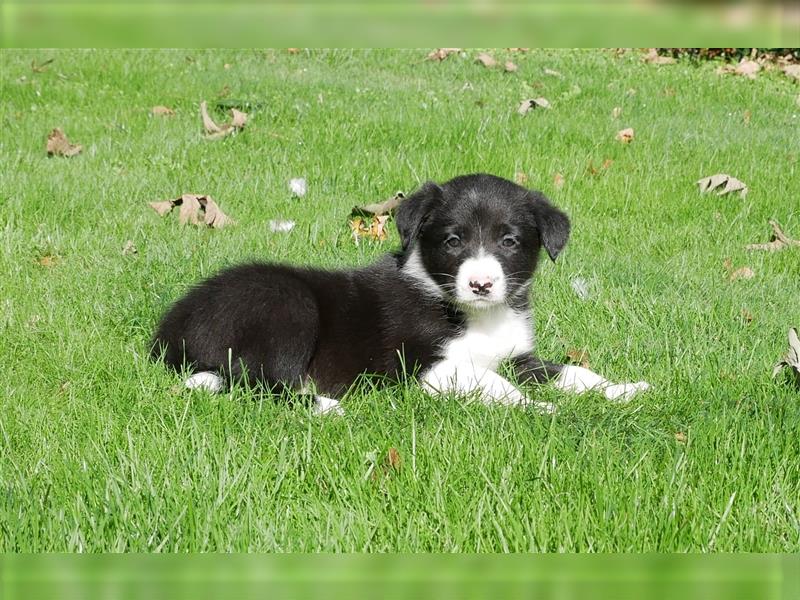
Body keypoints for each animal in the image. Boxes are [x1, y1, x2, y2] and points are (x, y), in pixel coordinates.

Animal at [152, 173, 648, 412]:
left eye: (509, 241)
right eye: (453, 241)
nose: (481, 284)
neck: (476, 314)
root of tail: (170, 328)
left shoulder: (517, 357)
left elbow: (572, 372)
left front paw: (623, 389)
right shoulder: (427, 368)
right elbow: (496, 384)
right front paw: (540, 408)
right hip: (286, 306)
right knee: (263, 382)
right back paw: (326, 405)